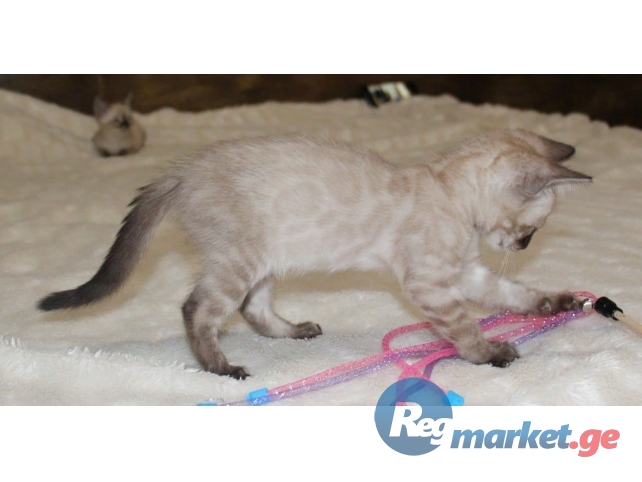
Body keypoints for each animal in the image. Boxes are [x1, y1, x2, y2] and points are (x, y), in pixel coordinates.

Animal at [38, 129, 592, 379]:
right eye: (532, 229)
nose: (524, 245)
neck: (445, 190)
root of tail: (182, 170)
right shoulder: (434, 284)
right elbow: (464, 329)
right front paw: (489, 354)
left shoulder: (467, 274)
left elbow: (516, 294)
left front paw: (561, 303)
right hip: (238, 261)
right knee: (197, 309)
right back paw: (223, 368)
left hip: (264, 261)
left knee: (253, 309)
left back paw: (295, 332)